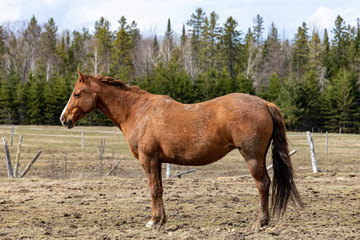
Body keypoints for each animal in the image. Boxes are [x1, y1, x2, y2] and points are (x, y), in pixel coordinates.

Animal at [60, 69, 302, 229]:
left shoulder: (148, 159)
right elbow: (159, 189)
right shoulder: (156, 161)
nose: (63, 119)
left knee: (263, 184)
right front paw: (161, 220)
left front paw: (153, 221)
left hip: (252, 157)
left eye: (77, 93)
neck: (139, 111)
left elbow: (153, 190)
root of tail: (265, 104)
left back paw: (261, 222)